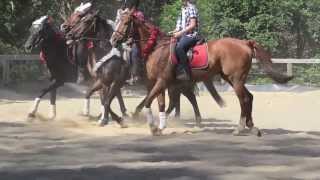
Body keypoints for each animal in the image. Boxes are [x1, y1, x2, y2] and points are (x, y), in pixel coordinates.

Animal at [110, 8, 292, 135]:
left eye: (125, 23)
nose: (113, 40)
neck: (156, 46)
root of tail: (245, 43)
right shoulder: (158, 82)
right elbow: (159, 104)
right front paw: (159, 127)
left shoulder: (162, 81)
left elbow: (149, 101)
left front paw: (153, 126)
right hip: (231, 79)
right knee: (249, 97)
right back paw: (251, 127)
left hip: (236, 79)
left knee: (245, 99)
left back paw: (240, 128)